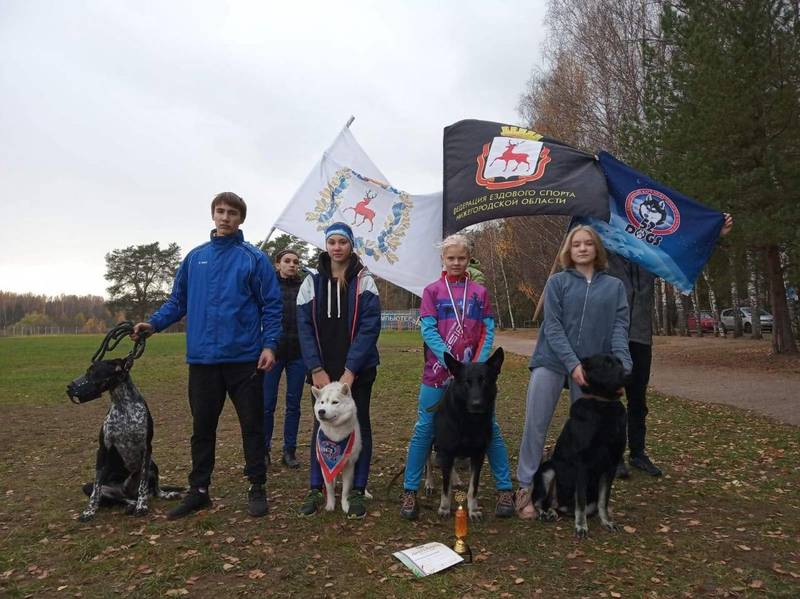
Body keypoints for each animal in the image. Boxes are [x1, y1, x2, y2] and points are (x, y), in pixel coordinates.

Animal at [312, 382, 362, 512]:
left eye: (335, 402)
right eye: (322, 402)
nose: (321, 411)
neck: (335, 435)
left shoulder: (349, 465)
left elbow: (345, 491)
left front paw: (345, 505)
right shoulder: (324, 465)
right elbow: (329, 489)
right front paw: (330, 505)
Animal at [434, 346, 504, 520]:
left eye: (484, 381)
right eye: (467, 382)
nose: (476, 404)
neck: (470, 421)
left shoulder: (478, 455)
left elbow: (473, 488)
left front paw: (473, 510)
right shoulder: (447, 450)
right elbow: (446, 488)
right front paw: (444, 508)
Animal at [536, 354, 628, 540]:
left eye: (620, 363)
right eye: (606, 364)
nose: (629, 373)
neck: (603, 404)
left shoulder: (611, 465)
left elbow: (603, 501)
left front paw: (607, 521)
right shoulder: (582, 465)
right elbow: (581, 500)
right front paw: (581, 526)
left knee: (562, 507)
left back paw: (554, 512)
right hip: (548, 470)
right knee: (540, 501)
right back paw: (544, 512)